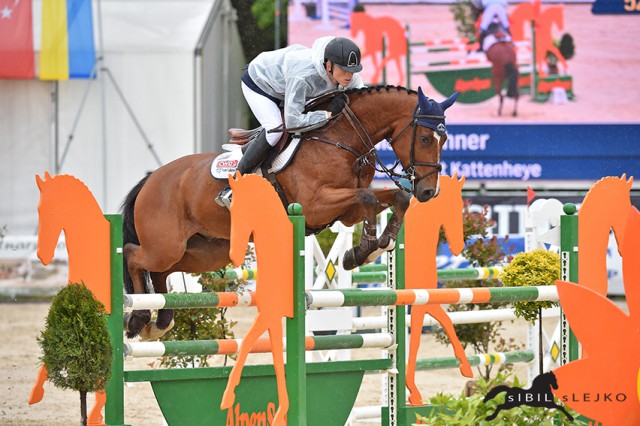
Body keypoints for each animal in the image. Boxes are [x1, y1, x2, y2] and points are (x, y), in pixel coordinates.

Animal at [121, 85, 460, 340]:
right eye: (426, 138)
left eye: (444, 138)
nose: (428, 192)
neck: (342, 139)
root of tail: (151, 179)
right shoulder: (315, 205)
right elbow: (368, 197)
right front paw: (364, 251)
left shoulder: (345, 213)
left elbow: (394, 198)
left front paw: (374, 247)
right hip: (165, 245)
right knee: (133, 255)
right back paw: (138, 317)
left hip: (203, 252)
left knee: (160, 272)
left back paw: (161, 322)